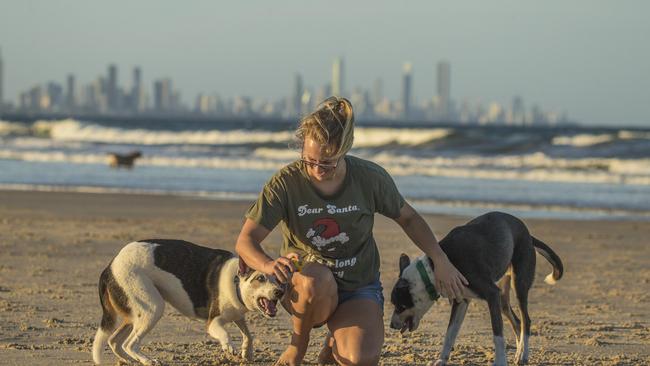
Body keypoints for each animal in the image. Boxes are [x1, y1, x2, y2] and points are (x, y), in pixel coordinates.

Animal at [91, 239, 284, 364]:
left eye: (279, 280)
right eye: (260, 278)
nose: (280, 292)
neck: (236, 281)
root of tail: (110, 267)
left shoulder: (237, 314)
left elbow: (248, 335)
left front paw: (247, 352)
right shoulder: (213, 322)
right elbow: (225, 334)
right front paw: (229, 347)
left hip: (135, 314)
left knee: (115, 341)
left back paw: (131, 361)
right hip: (152, 308)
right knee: (129, 344)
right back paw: (147, 360)